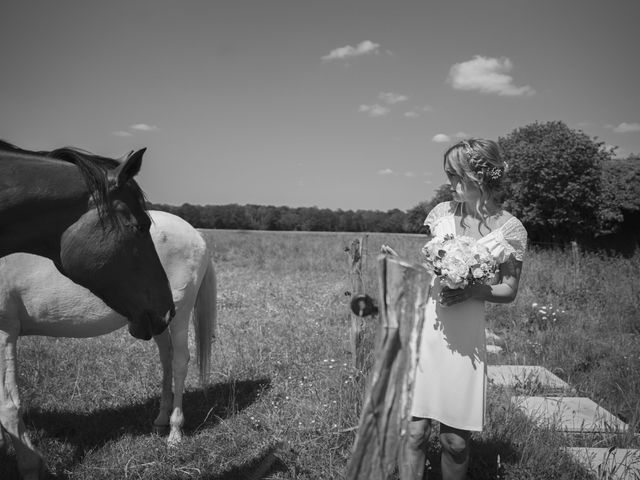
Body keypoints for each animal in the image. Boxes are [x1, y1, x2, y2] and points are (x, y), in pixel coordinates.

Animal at [0, 212, 218, 478]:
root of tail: (196, 233)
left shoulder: (5, 330)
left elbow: (8, 407)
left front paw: (29, 465)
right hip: (158, 319)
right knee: (166, 359)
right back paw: (161, 419)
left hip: (180, 313)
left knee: (178, 363)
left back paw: (175, 432)